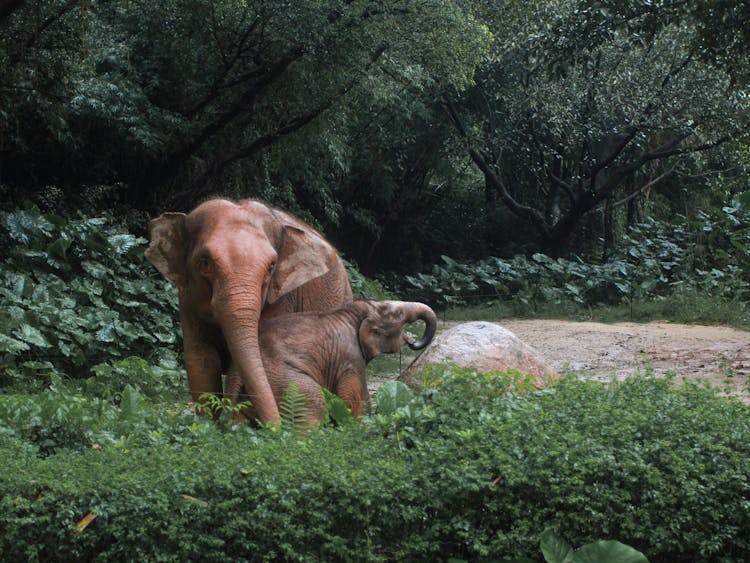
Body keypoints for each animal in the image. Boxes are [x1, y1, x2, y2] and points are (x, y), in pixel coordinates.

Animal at [145, 198, 354, 424]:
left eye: (271, 267)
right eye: (204, 262)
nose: (275, 428)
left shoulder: (281, 298)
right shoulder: (187, 299)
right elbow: (201, 359)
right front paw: (207, 425)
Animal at [229, 300, 440, 424]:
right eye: (399, 315)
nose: (413, 341)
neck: (356, 311)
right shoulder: (350, 357)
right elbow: (353, 397)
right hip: (282, 379)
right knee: (313, 405)